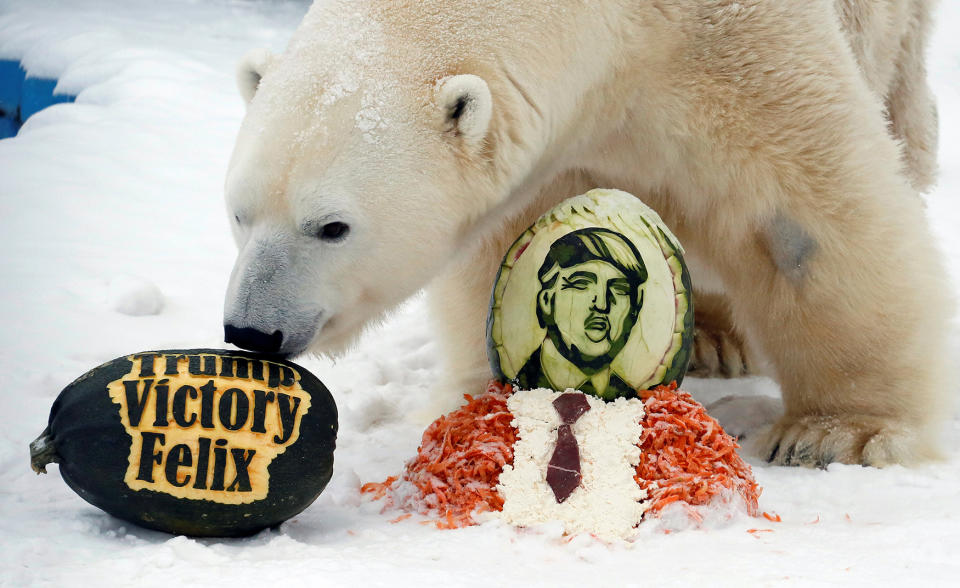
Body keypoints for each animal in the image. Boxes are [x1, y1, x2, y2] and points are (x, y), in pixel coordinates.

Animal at [223, 1, 952, 468]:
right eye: (238, 211)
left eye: (332, 226)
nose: (252, 331)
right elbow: (507, 263)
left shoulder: (734, 44)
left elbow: (801, 217)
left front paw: (835, 434)